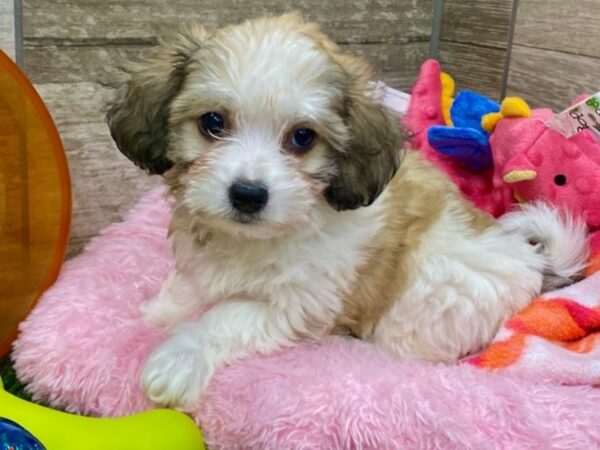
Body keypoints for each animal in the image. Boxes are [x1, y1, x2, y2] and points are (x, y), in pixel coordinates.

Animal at [106, 13, 584, 412]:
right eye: (212, 122)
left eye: (302, 138)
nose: (248, 194)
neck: (251, 239)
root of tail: (530, 259)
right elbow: (190, 287)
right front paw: (157, 313)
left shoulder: (301, 301)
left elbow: (227, 317)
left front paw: (179, 357)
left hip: (432, 296)